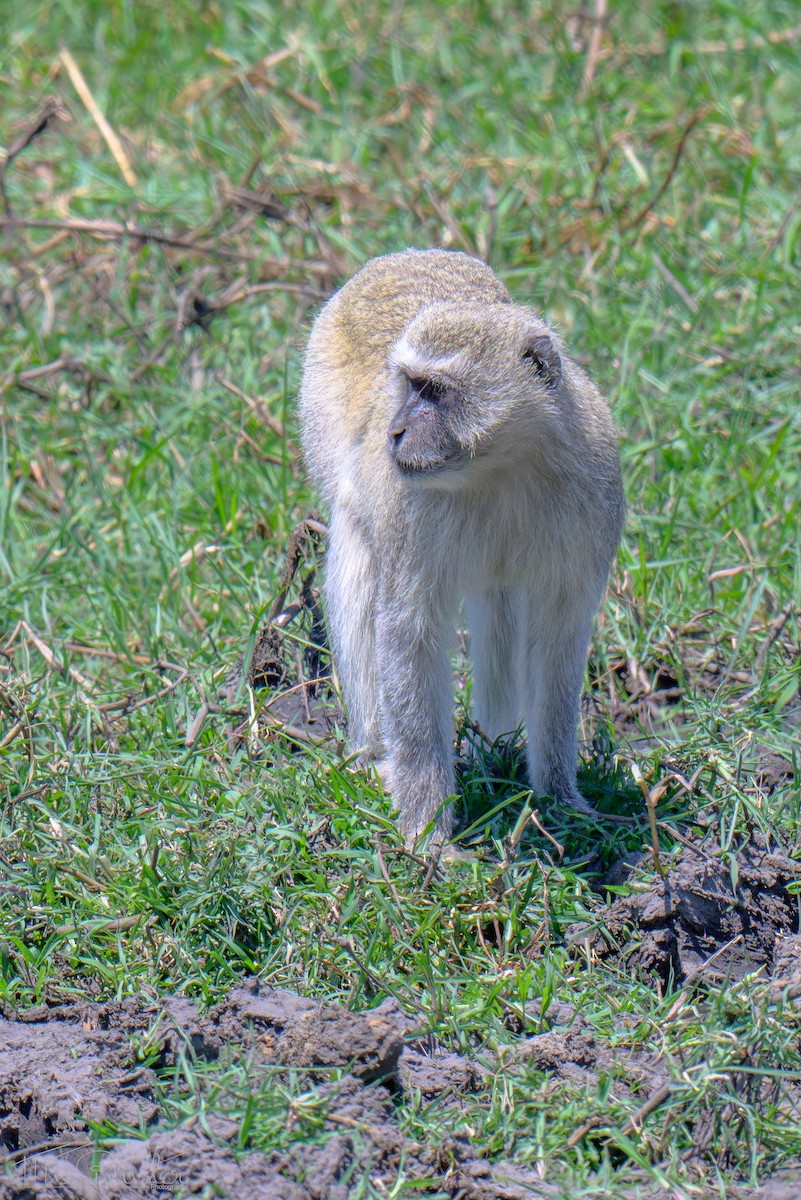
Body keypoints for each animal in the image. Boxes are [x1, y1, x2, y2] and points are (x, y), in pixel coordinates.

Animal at [299, 249, 624, 847]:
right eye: (409, 385)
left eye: (435, 392)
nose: (396, 432)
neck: (503, 464)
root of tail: (404, 256)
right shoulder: (409, 510)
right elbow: (410, 634)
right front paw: (427, 832)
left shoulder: (593, 494)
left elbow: (559, 636)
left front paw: (560, 799)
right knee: (357, 550)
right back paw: (375, 756)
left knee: (499, 602)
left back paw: (493, 748)